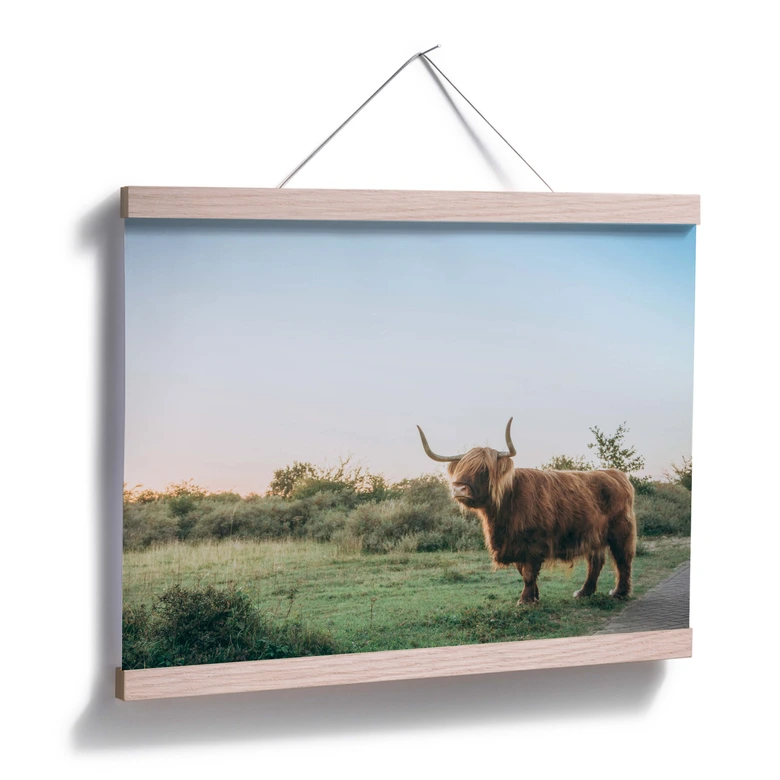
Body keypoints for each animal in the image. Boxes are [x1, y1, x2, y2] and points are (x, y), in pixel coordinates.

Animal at [417, 418, 636, 604]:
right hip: (593, 533)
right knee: (595, 561)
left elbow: (529, 572)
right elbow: (522, 571)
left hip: (620, 530)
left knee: (623, 559)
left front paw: (525, 600)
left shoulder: (534, 542)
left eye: (484, 470)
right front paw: (534, 596)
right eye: (460, 467)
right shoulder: (514, 544)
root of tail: (615, 474)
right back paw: (584, 592)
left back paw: (619, 592)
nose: (458, 489)